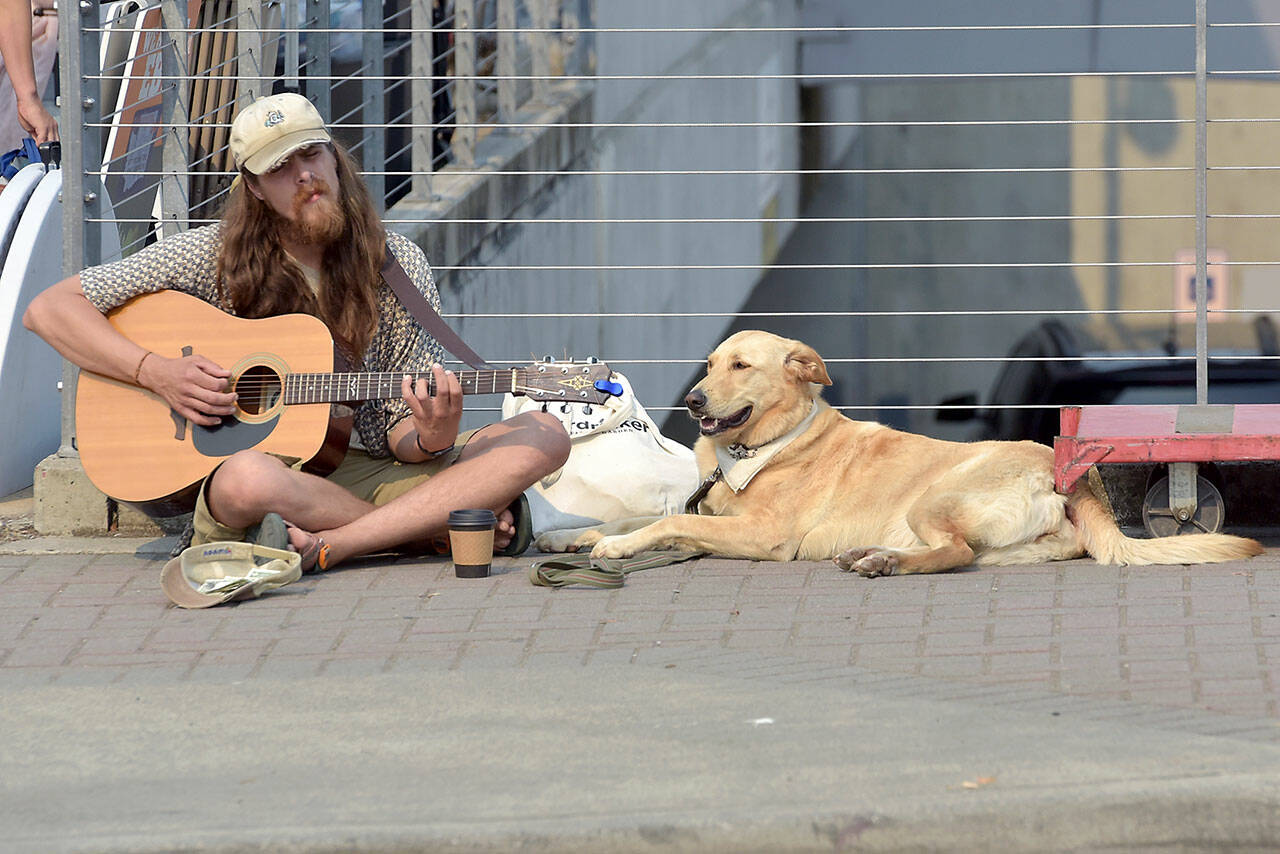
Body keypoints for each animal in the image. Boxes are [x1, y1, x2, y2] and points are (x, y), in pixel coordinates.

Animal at [535, 330, 1264, 578]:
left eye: (741, 366)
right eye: (711, 363)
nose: (691, 400)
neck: (764, 449)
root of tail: (1067, 475)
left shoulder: (763, 535)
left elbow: (669, 523)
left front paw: (614, 546)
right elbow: (651, 516)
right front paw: (575, 537)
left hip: (935, 496)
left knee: (953, 554)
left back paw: (884, 563)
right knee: (961, 553)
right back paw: (876, 555)